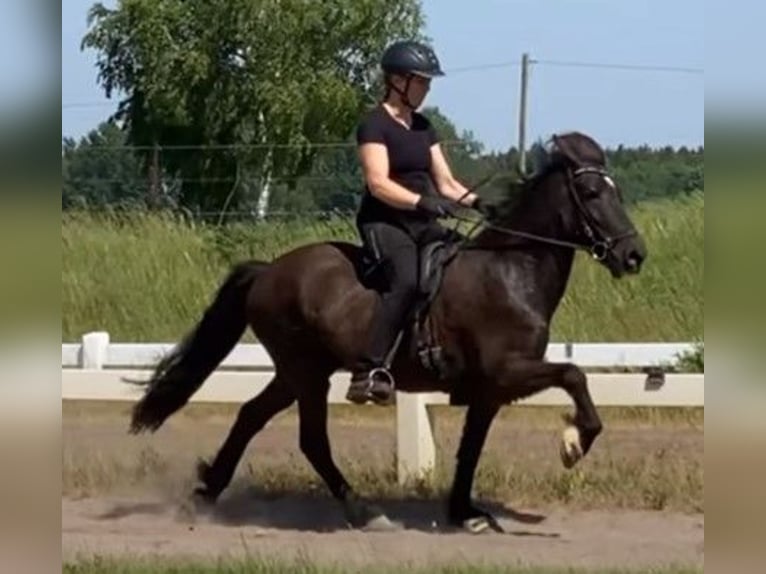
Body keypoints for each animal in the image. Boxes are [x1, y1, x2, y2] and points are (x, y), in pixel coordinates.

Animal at [130, 132, 648, 536]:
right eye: (591, 192)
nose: (634, 256)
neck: (510, 270)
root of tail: (267, 271)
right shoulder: (509, 370)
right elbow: (574, 374)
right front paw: (573, 444)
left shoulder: (489, 389)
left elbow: (471, 449)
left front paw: (465, 513)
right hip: (306, 372)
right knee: (311, 440)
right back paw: (364, 512)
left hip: (297, 372)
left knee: (251, 416)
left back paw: (206, 493)